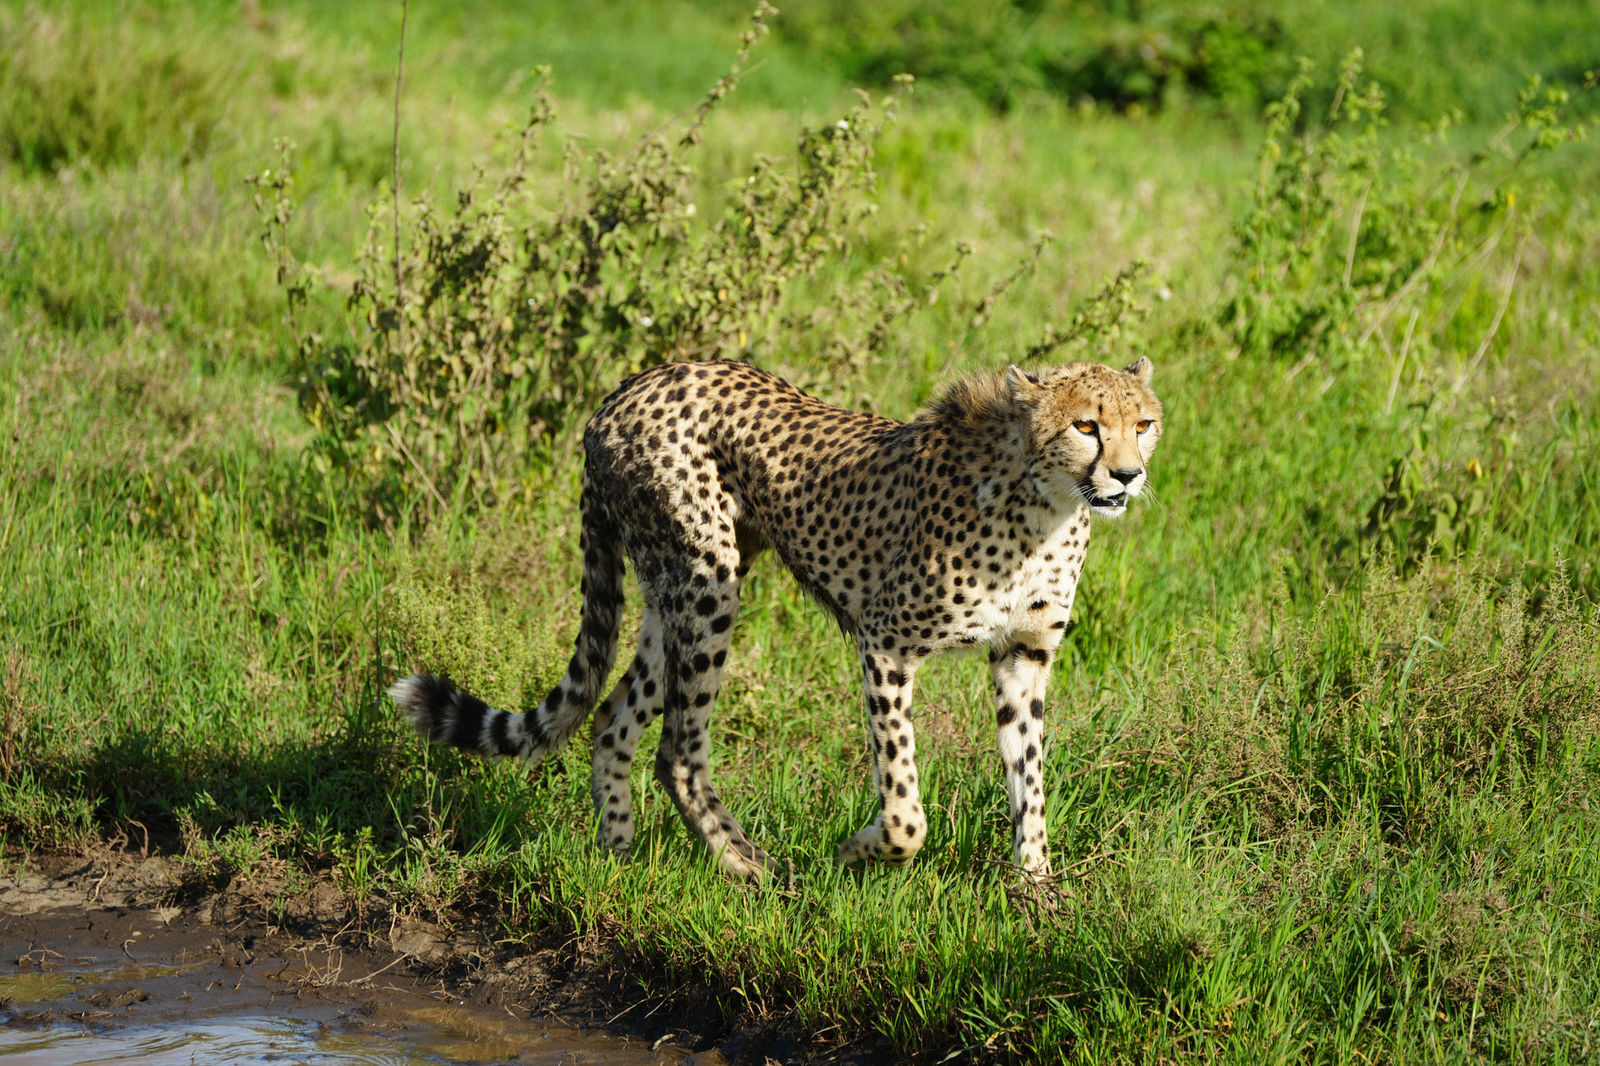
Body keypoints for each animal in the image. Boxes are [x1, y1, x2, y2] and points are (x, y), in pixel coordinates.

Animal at [390, 356, 1163, 881]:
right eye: (1086, 425)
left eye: (1143, 424)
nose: (1128, 476)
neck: (1043, 505)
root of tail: (623, 390)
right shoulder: (885, 643)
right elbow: (906, 808)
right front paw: (859, 849)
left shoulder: (1023, 656)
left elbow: (1029, 781)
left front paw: (1038, 893)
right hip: (708, 584)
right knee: (678, 751)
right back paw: (749, 867)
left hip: (677, 593)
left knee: (612, 722)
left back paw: (617, 859)